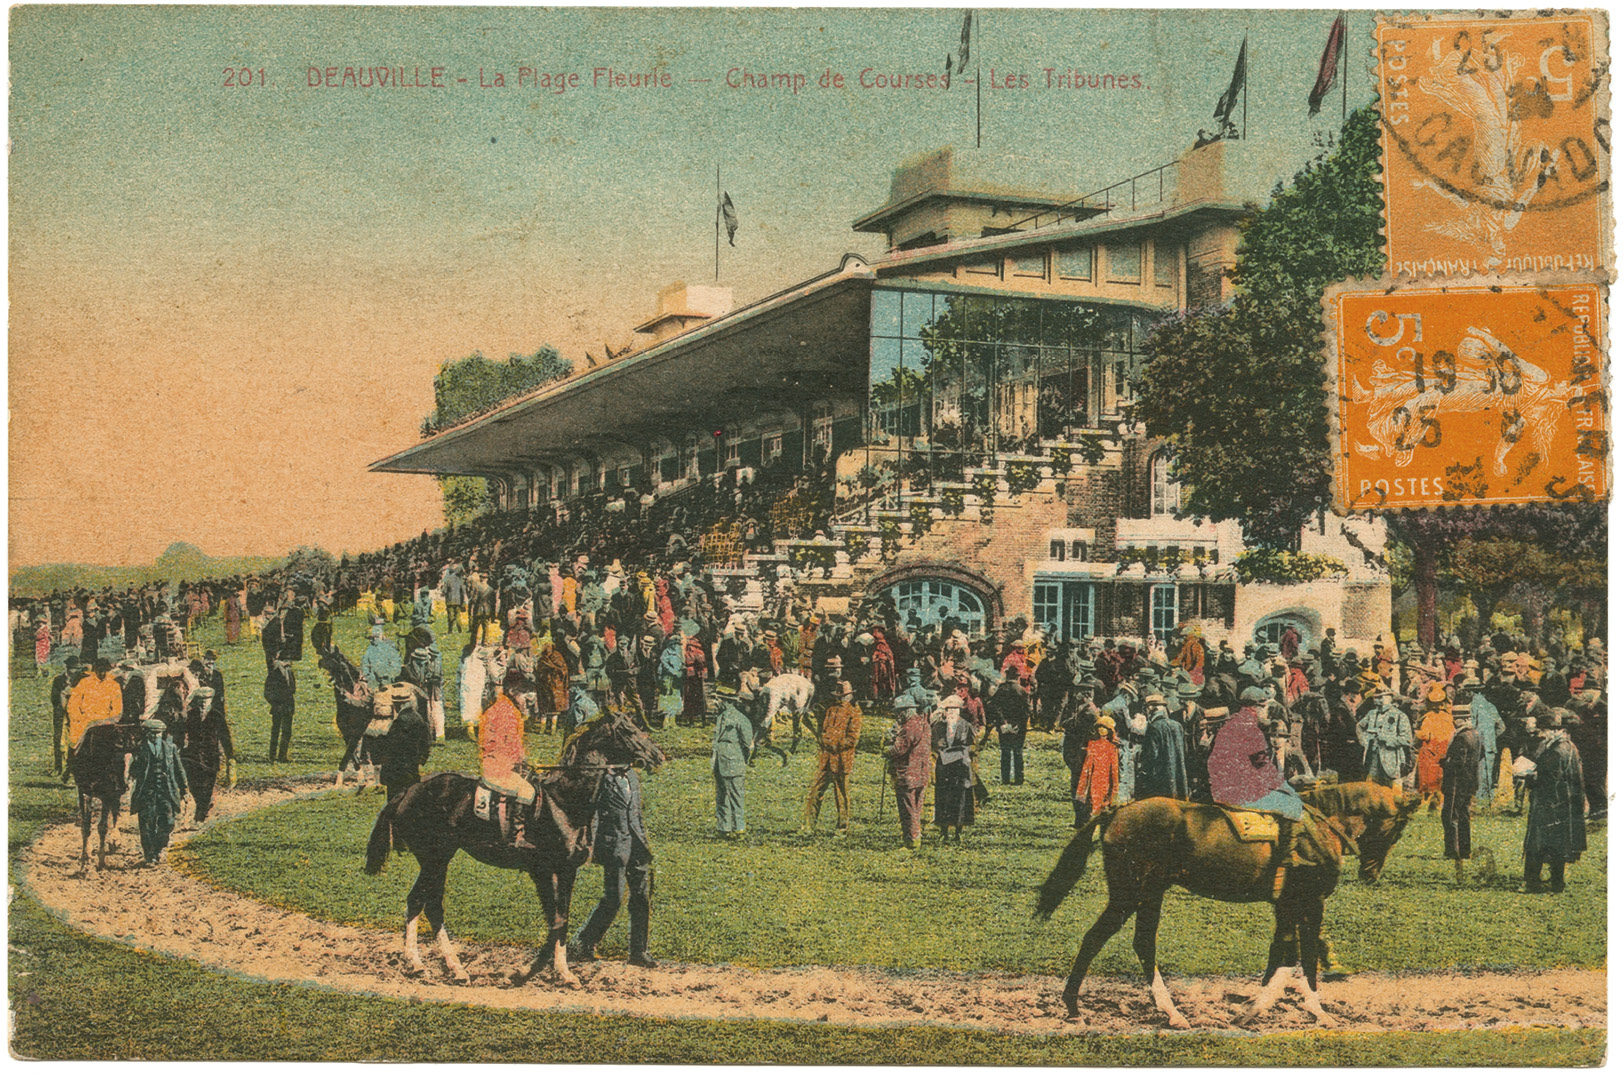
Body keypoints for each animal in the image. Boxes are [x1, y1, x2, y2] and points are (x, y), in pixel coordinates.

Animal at [366, 704, 665, 987]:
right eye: (627, 730)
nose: (657, 755)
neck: (563, 800)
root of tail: (409, 791)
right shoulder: (541, 870)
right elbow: (556, 921)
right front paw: (525, 972)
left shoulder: (567, 870)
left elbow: (562, 919)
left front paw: (564, 972)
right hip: (434, 858)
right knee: (420, 902)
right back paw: (423, 964)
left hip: (440, 858)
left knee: (428, 904)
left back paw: (448, 967)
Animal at [1032, 782, 1415, 1026]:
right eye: (1397, 830)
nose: (1370, 872)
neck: (1319, 827)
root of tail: (1117, 812)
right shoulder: (1309, 901)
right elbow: (1302, 958)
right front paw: (1317, 1011)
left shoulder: (1286, 905)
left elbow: (1280, 955)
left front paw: (1252, 1007)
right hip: (1131, 893)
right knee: (1098, 938)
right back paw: (1078, 1006)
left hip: (1149, 892)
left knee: (1140, 943)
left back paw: (1166, 1011)